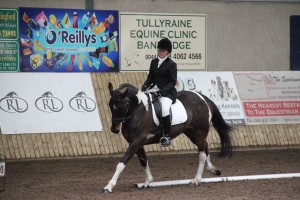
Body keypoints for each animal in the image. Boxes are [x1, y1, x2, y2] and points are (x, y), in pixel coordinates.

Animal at [102, 82, 233, 193]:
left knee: (201, 154)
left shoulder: (136, 142)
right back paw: (213, 169)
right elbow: (143, 161)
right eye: (110, 105)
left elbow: (121, 164)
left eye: (124, 105)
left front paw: (108, 186)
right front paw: (148, 181)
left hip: (200, 131)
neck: (139, 111)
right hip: (191, 133)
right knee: (205, 146)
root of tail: (202, 97)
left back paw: (196, 180)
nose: (115, 129)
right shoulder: (136, 143)